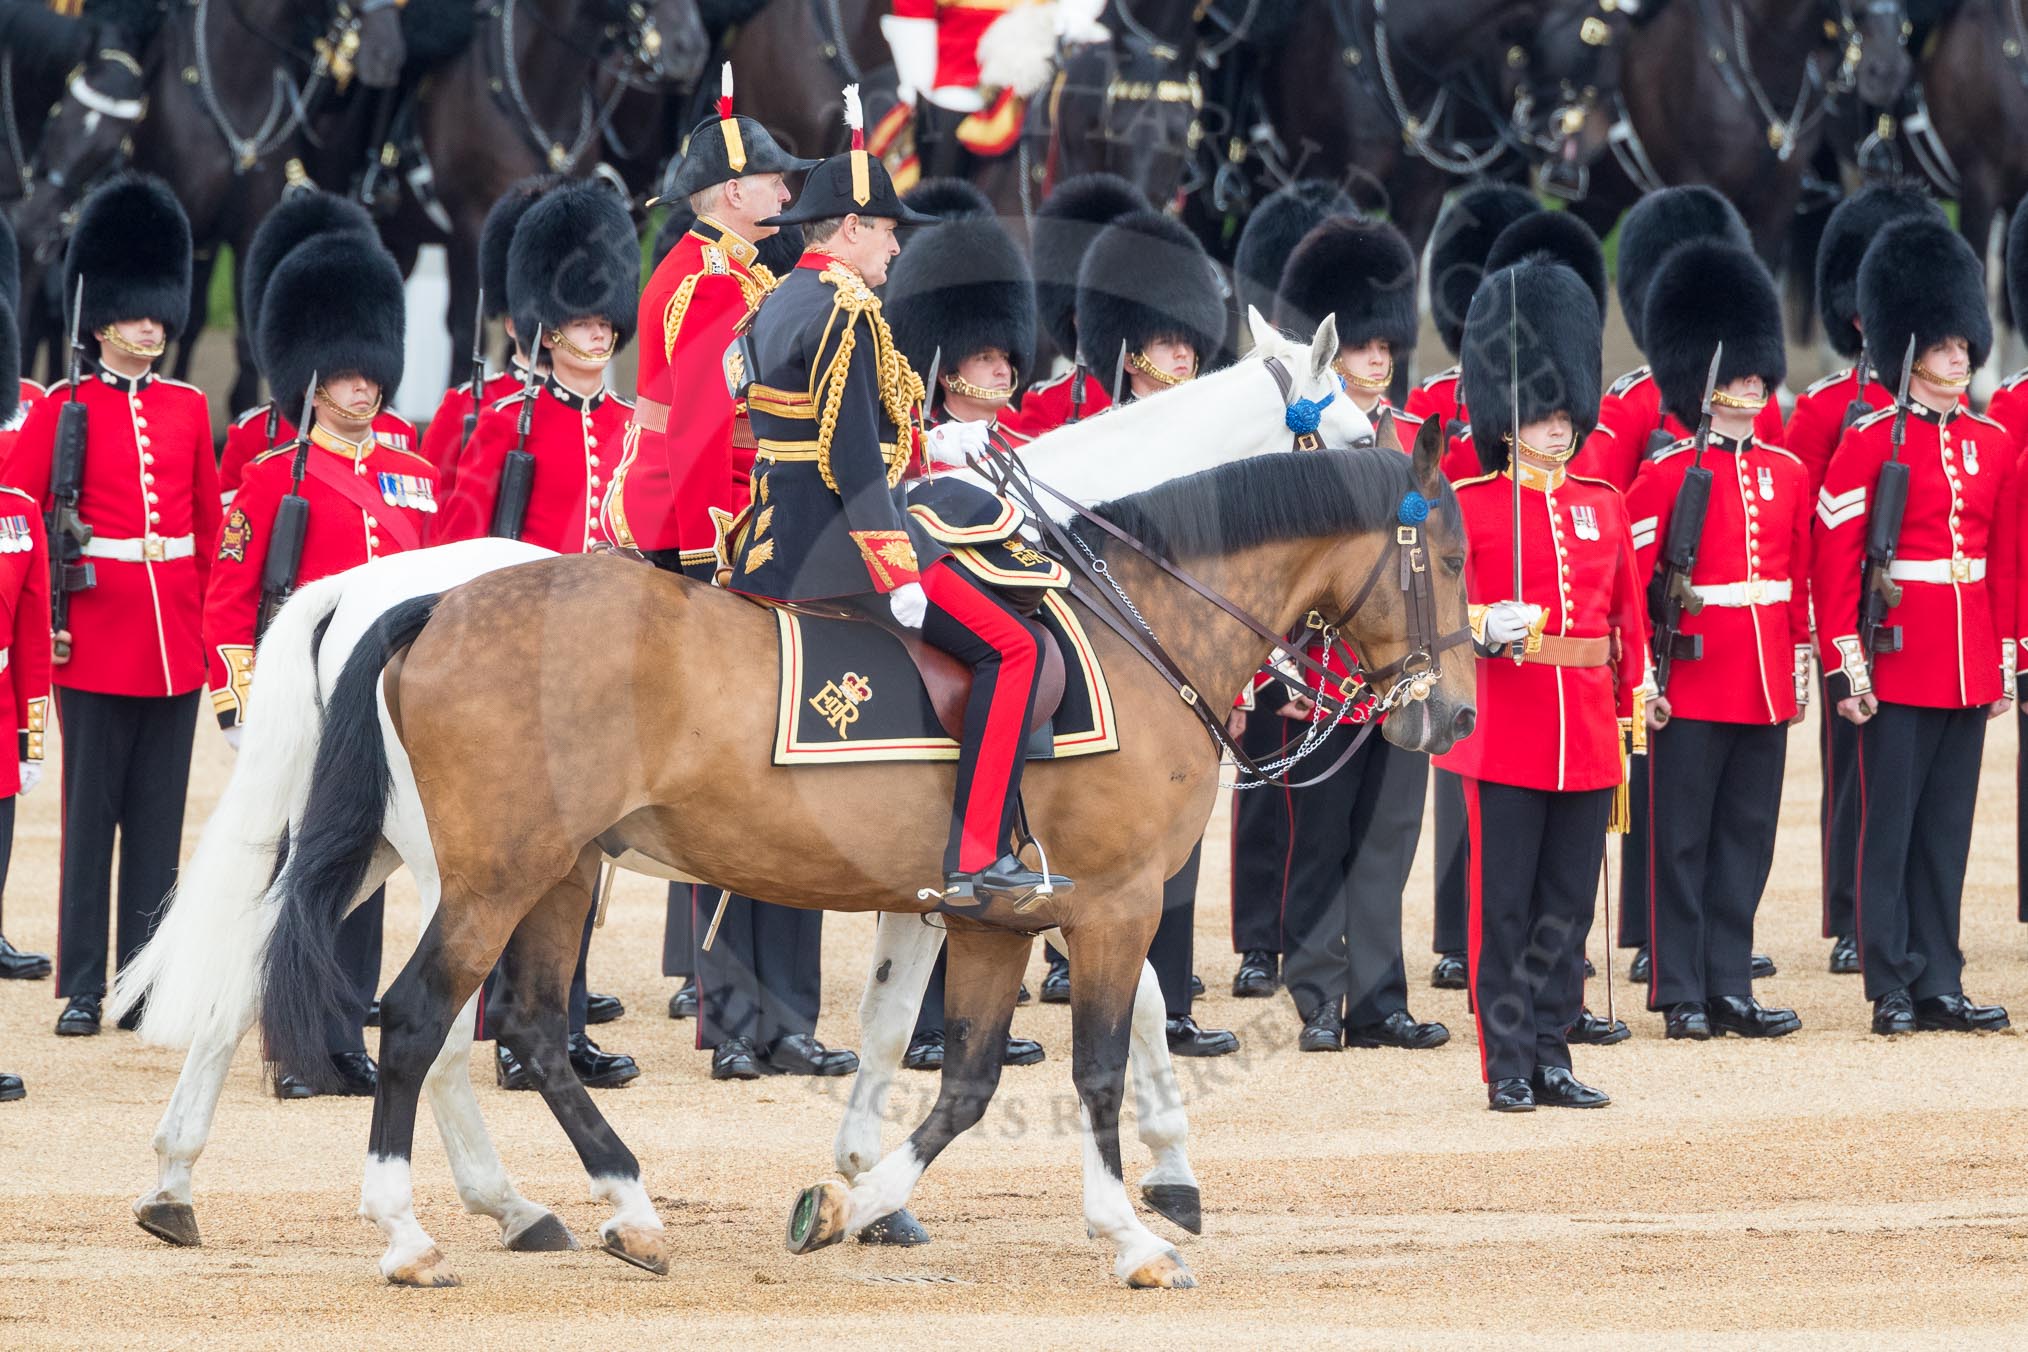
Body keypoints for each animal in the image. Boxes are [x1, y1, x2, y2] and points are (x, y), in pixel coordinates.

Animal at [111, 315, 1386, 1278]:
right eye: (1370, 432)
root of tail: (389, 593)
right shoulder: (1042, 872)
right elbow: (1121, 1005)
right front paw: (1153, 1175)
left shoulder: (949, 884)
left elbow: (902, 1020)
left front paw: (873, 1182)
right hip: (472, 861)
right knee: (432, 1021)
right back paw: (479, 1207)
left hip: (389, 841)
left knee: (259, 971)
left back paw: (183, 1183)